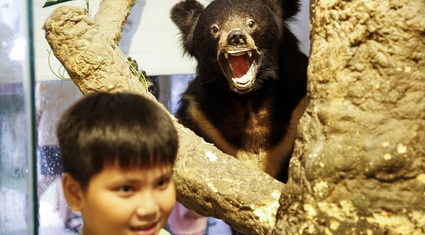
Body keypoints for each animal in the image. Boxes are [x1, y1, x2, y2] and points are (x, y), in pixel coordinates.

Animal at [171, 0, 306, 182]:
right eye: (215, 28)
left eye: (251, 23)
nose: (235, 37)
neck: (249, 98)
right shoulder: (198, 116)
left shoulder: (297, 111)